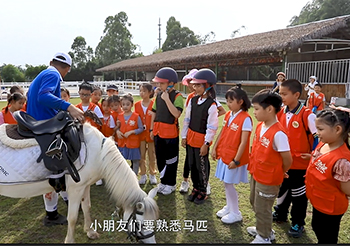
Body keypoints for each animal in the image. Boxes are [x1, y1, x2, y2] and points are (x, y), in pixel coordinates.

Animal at [0, 124, 159, 243]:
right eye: (141, 224)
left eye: (154, 221)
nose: (152, 243)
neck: (98, 153)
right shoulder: (75, 189)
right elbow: (72, 217)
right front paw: (70, 240)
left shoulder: (85, 186)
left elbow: (87, 207)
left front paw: (90, 232)